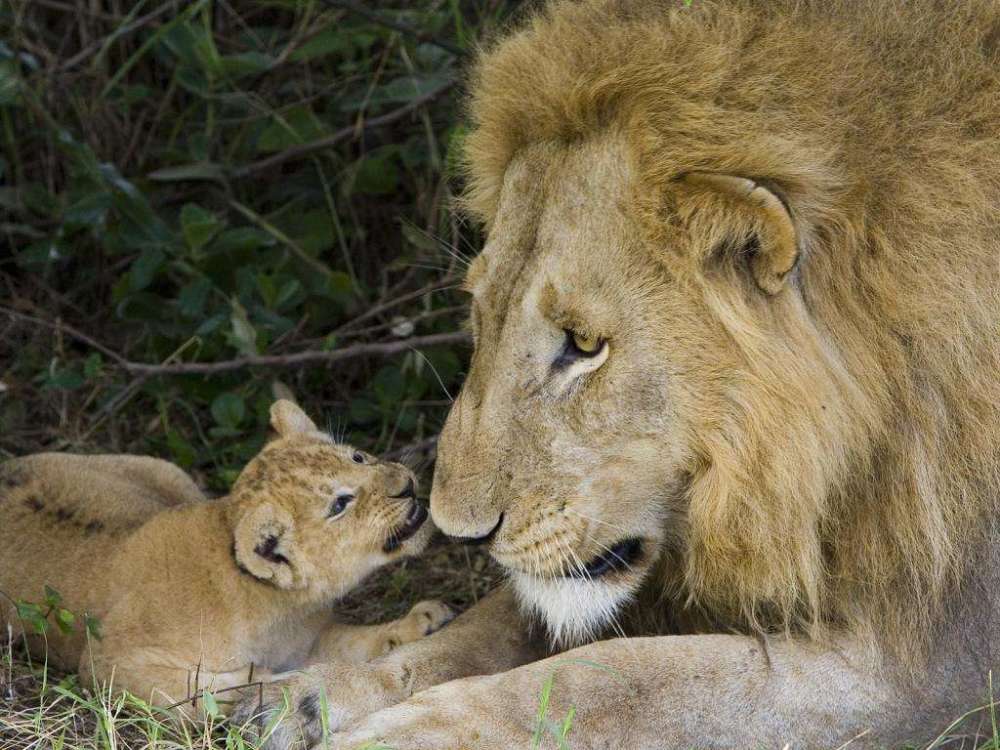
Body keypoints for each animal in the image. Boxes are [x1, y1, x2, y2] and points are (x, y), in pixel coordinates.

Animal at [252, 1, 1000, 750]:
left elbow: (622, 679)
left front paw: (413, 730)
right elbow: (490, 626)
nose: (460, 534)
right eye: (481, 313)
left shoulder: (930, 668)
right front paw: (306, 698)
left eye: (584, 344)